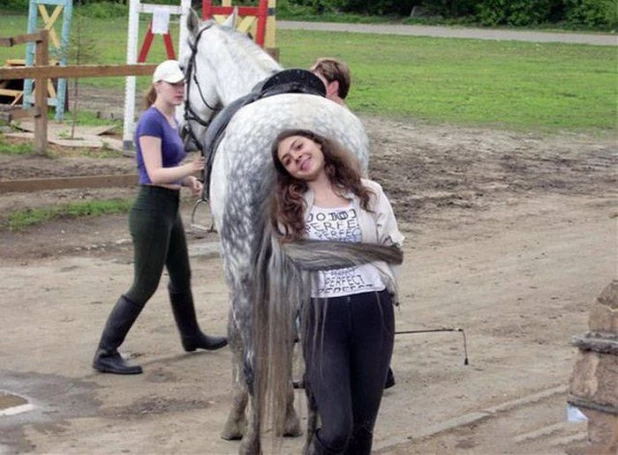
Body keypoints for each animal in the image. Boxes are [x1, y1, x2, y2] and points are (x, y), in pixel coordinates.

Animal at [178, 9, 400, 452]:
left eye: (181, 68)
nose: (182, 130)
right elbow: (289, 336)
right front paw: (287, 417)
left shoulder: (236, 263)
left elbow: (238, 335)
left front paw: (239, 420)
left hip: (243, 261)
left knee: (250, 350)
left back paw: (251, 440)